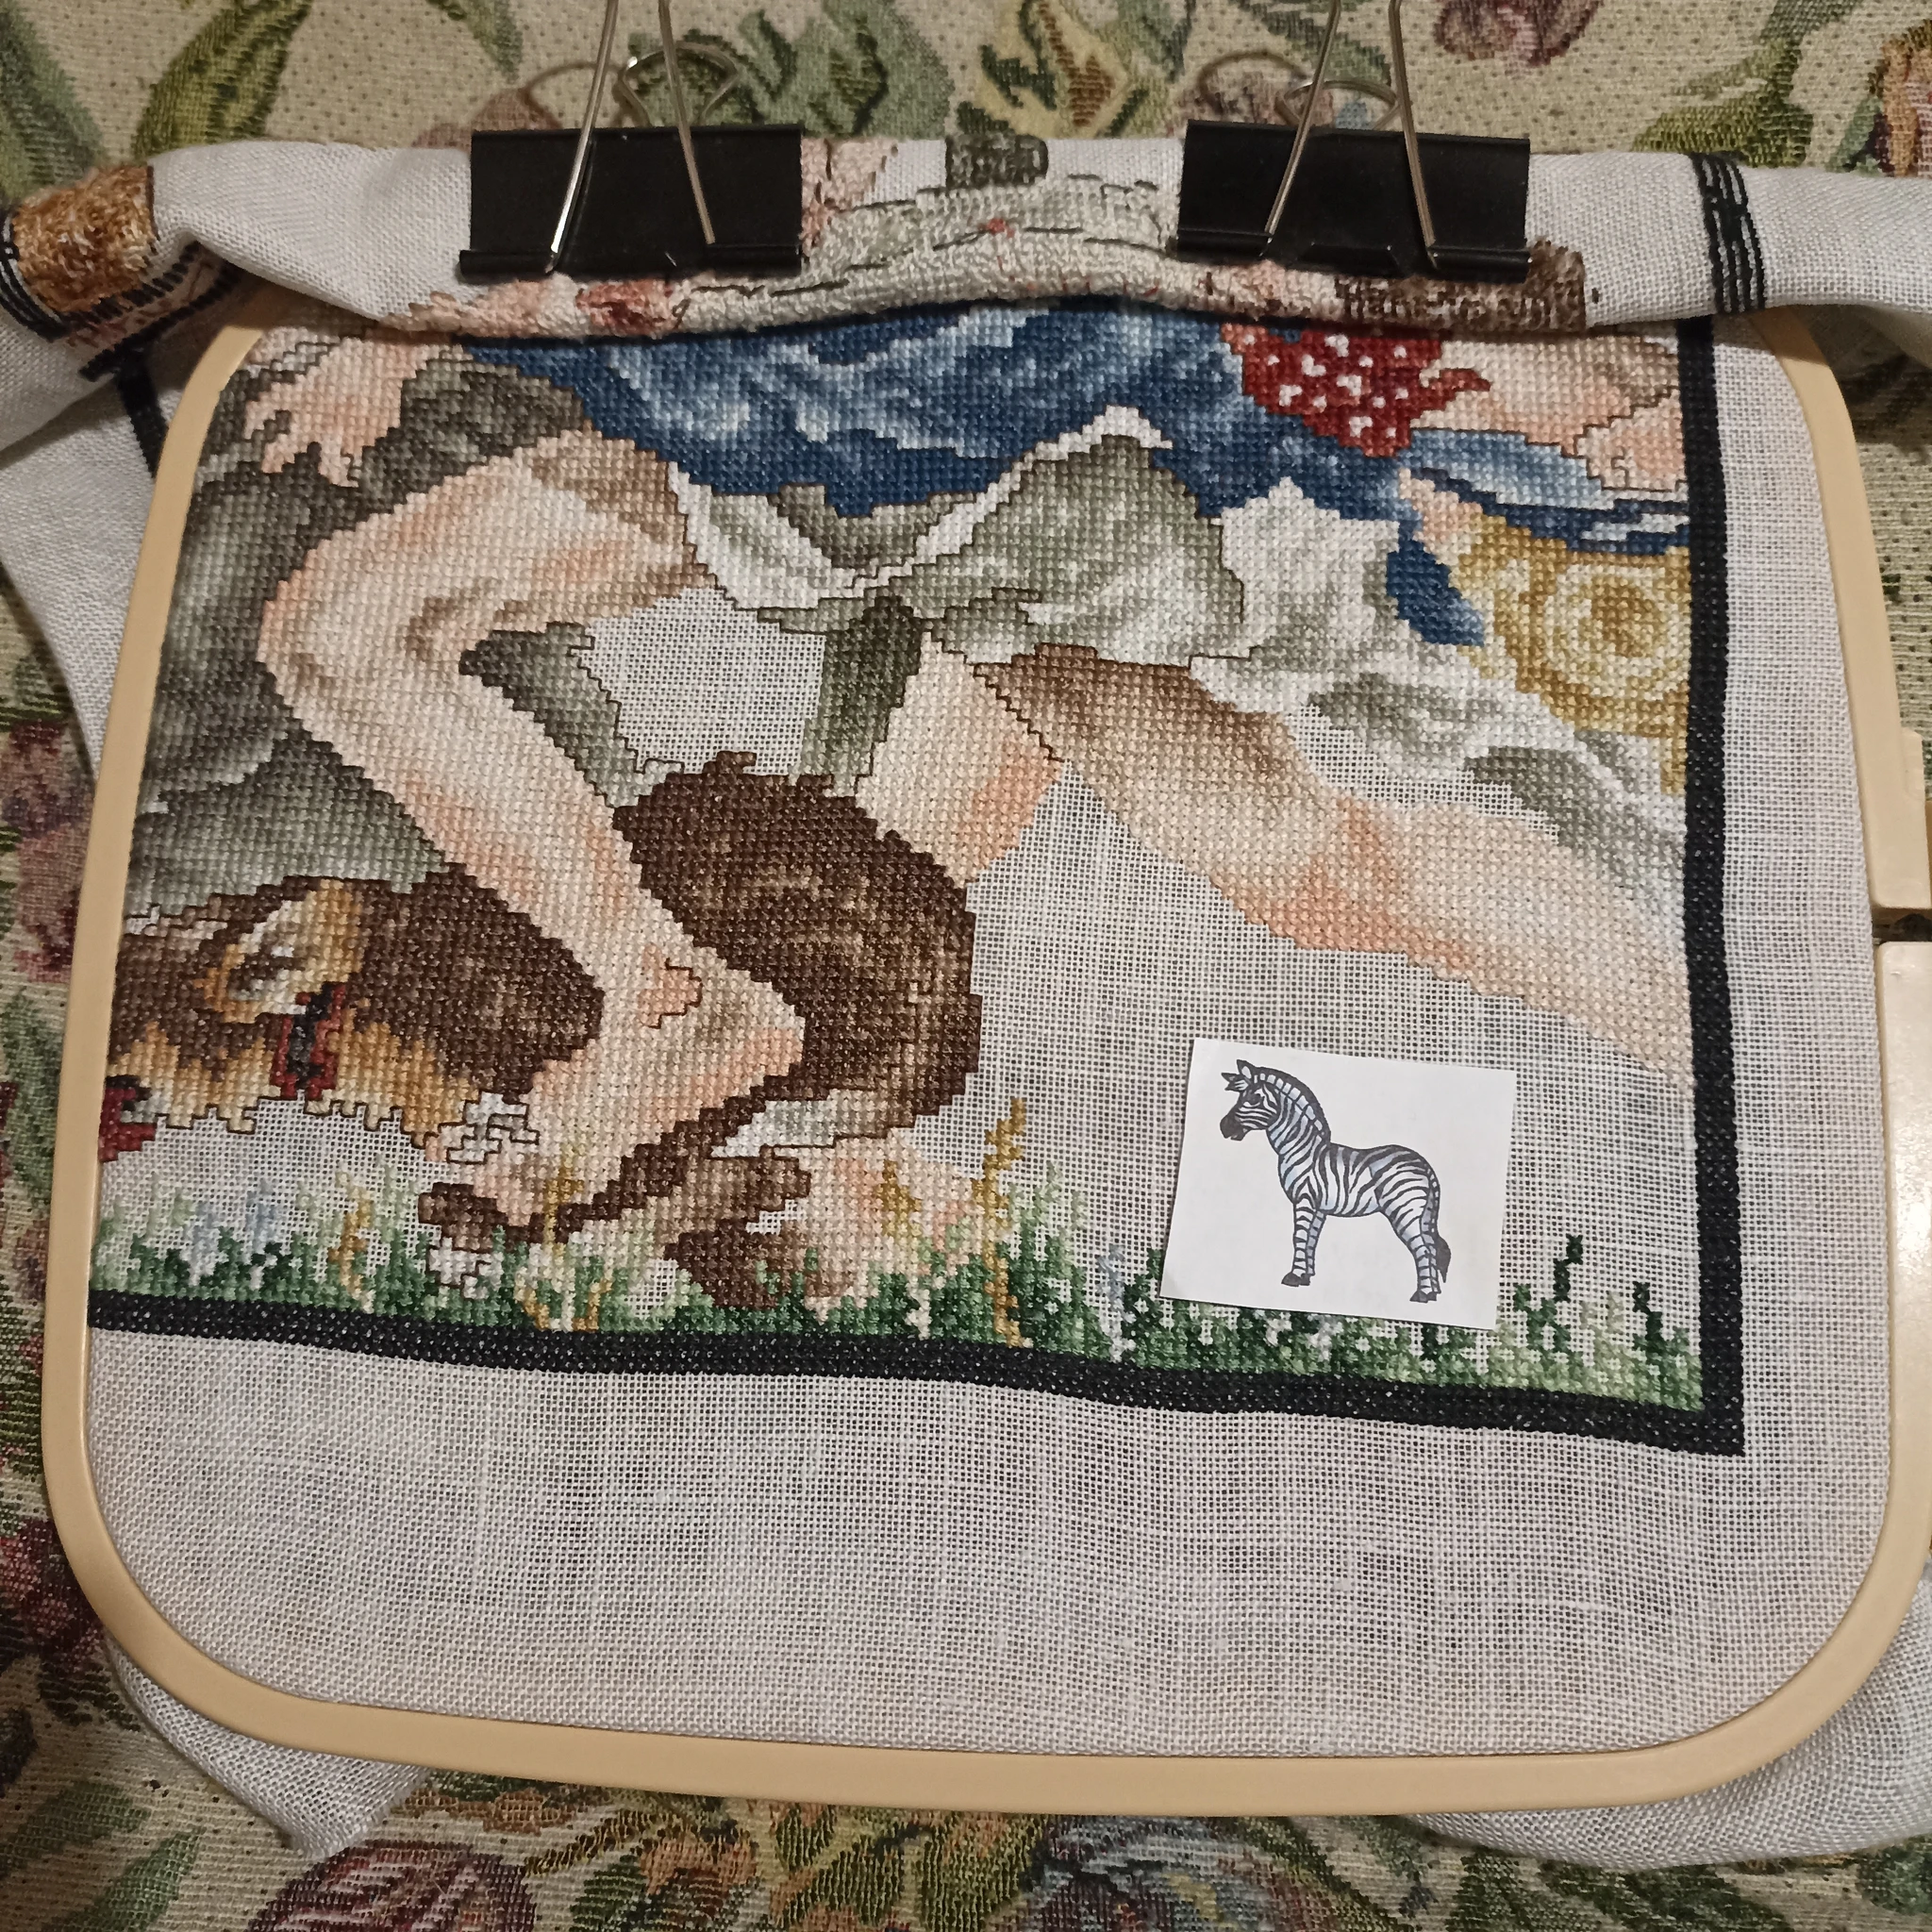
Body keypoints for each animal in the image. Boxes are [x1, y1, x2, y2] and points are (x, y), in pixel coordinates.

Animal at [1219, 1061, 1450, 1303]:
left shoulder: (1304, 1198)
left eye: (1254, 1098)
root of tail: (1425, 1165)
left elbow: (1298, 1236)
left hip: (1403, 1209)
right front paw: (1306, 1276)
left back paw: (1422, 1294)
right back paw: (1433, 1293)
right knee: (1432, 1247)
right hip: (1423, 1214)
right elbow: (1311, 1238)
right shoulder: (1319, 1206)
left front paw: (1294, 1276)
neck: (1300, 1147)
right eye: (1240, 1096)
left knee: (1423, 1249)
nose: (1224, 1127)